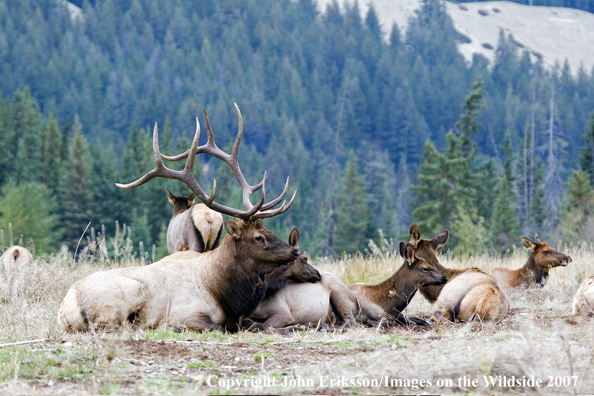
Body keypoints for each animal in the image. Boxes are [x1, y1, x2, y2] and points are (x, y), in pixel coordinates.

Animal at [57, 103, 298, 332]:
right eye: (258, 237)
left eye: (269, 231)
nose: (294, 251)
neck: (224, 294)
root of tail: (67, 308)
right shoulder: (187, 313)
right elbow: (217, 327)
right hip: (130, 292)